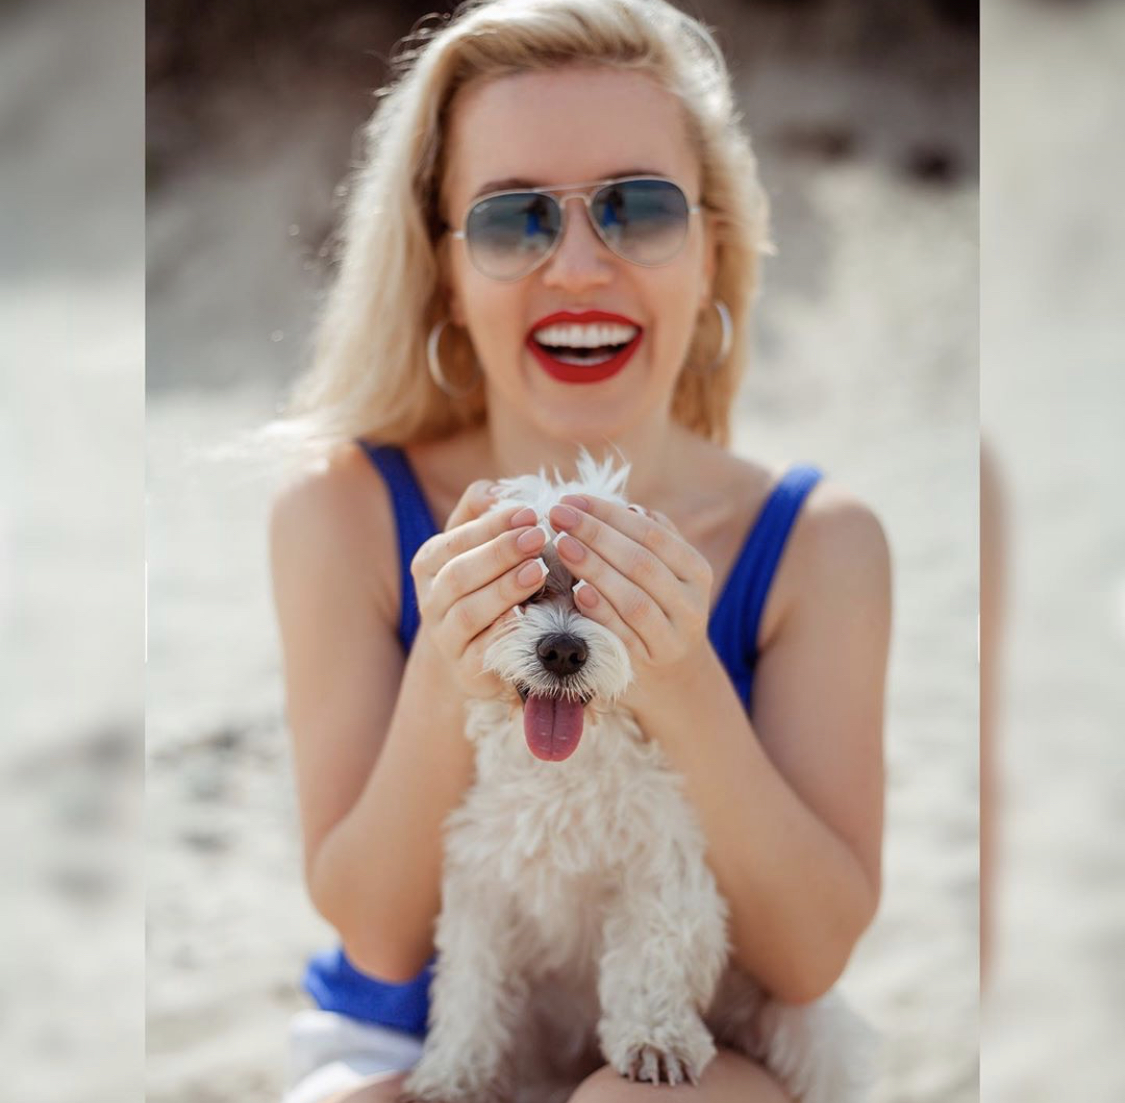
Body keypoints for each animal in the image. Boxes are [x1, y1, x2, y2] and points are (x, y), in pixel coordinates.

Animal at [400, 450, 873, 1103]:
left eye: (599, 595)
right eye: (527, 589)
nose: (563, 650)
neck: (568, 770)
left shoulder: (661, 861)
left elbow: (650, 954)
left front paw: (656, 1040)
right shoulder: (482, 880)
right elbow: (471, 985)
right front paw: (454, 1072)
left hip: (808, 1025)